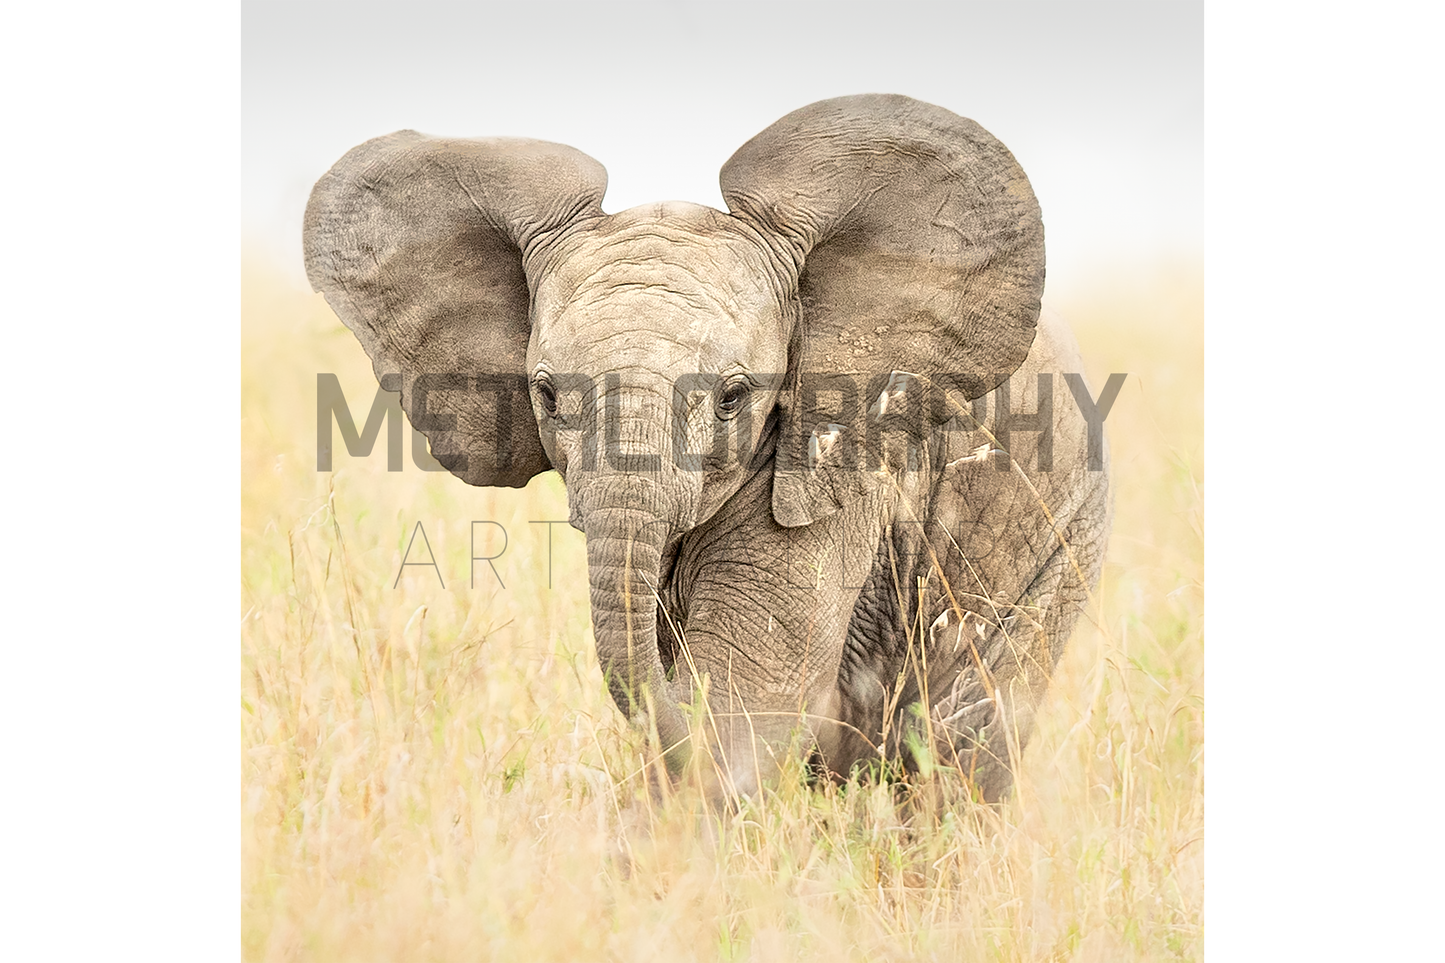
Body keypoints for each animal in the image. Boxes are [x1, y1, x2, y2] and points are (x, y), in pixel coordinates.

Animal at [303, 94, 1111, 803]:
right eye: (547, 395)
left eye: (732, 397)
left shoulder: (837, 469)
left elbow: (747, 703)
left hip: (1055, 550)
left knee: (960, 749)